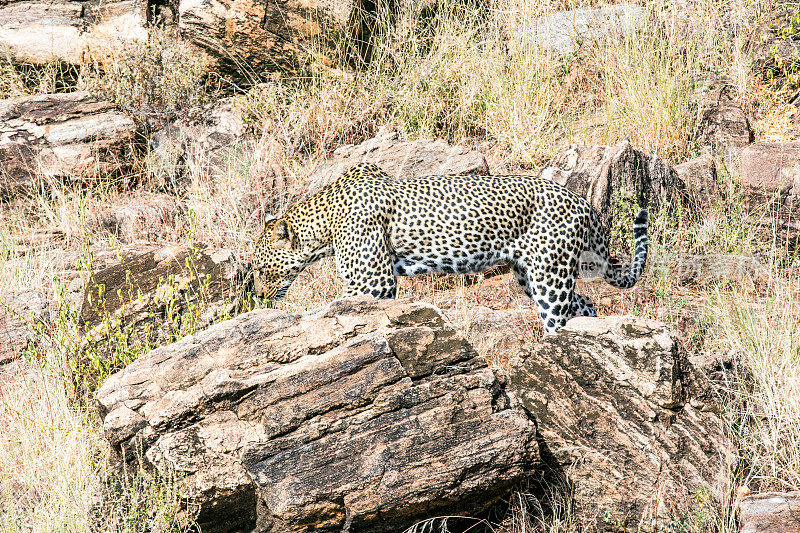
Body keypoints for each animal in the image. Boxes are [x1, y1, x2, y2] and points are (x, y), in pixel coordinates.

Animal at [253, 161, 648, 332]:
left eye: (259, 269)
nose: (256, 295)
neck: (323, 222)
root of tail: (585, 204)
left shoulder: (373, 283)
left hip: (551, 279)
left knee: (559, 319)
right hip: (531, 275)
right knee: (586, 304)